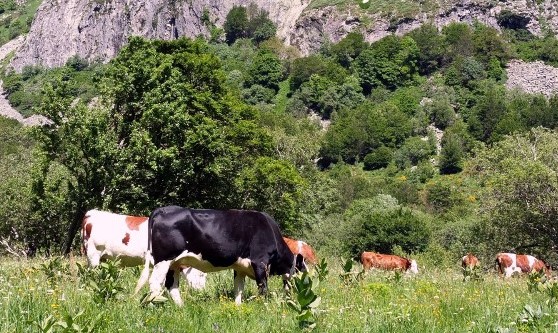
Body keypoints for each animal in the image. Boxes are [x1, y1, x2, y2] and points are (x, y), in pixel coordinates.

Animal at [137, 206, 298, 304]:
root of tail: (163, 209)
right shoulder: (260, 262)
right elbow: (263, 287)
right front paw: (263, 305)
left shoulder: (240, 267)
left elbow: (239, 288)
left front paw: (238, 306)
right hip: (164, 260)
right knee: (155, 283)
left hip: (174, 263)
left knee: (172, 285)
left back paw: (181, 307)